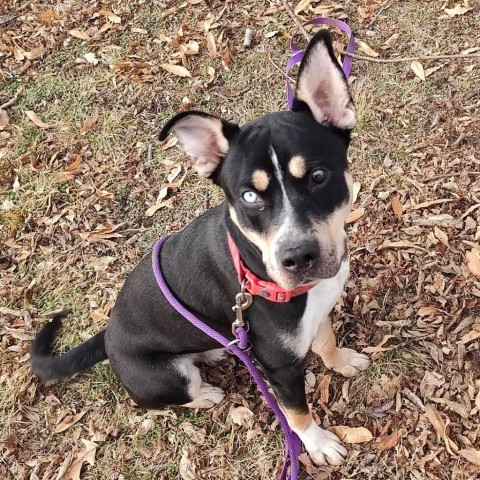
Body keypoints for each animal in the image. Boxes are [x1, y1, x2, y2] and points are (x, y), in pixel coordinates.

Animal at [31, 30, 372, 464]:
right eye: (248, 196)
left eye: (317, 176)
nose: (298, 257)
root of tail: (107, 337)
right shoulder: (281, 369)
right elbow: (297, 413)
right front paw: (319, 443)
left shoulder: (321, 307)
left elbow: (326, 341)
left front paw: (342, 361)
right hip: (166, 377)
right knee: (178, 393)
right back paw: (206, 393)